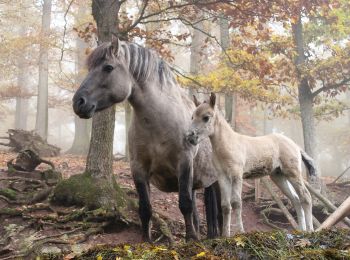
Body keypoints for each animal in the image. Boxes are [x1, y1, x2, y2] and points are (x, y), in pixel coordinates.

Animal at [73, 37, 220, 241]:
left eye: (108, 67)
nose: (78, 102)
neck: (159, 123)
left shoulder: (184, 162)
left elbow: (185, 204)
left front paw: (191, 240)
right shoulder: (138, 168)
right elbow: (145, 208)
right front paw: (146, 240)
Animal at [187, 92, 316, 237]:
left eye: (206, 117)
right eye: (192, 117)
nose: (190, 137)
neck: (228, 145)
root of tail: (295, 145)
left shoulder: (236, 175)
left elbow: (236, 202)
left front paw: (240, 232)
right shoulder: (222, 177)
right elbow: (225, 205)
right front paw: (225, 235)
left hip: (292, 172)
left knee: (305, 197)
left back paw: (310, 230)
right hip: (278, 176)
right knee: (295, 199)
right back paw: (301, 231)